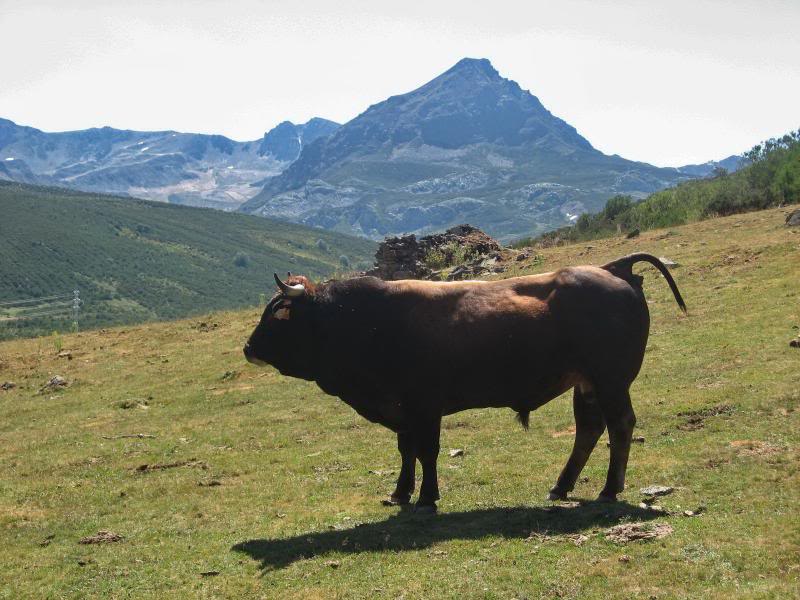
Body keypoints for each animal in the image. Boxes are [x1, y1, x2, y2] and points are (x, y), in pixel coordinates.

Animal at [241, 252, 684, 510]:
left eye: (278, 313)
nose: (247, 347)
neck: (365, 321)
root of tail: (613, 269)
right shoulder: (402, 410)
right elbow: (407, 451)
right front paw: (400, 493)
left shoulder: (424, 405)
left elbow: (427, 451)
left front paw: (426, 497)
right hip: (587, 384)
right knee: (589, 430)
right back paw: (561, 487)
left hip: (611, 381)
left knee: (620, 425)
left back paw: (609, 489)